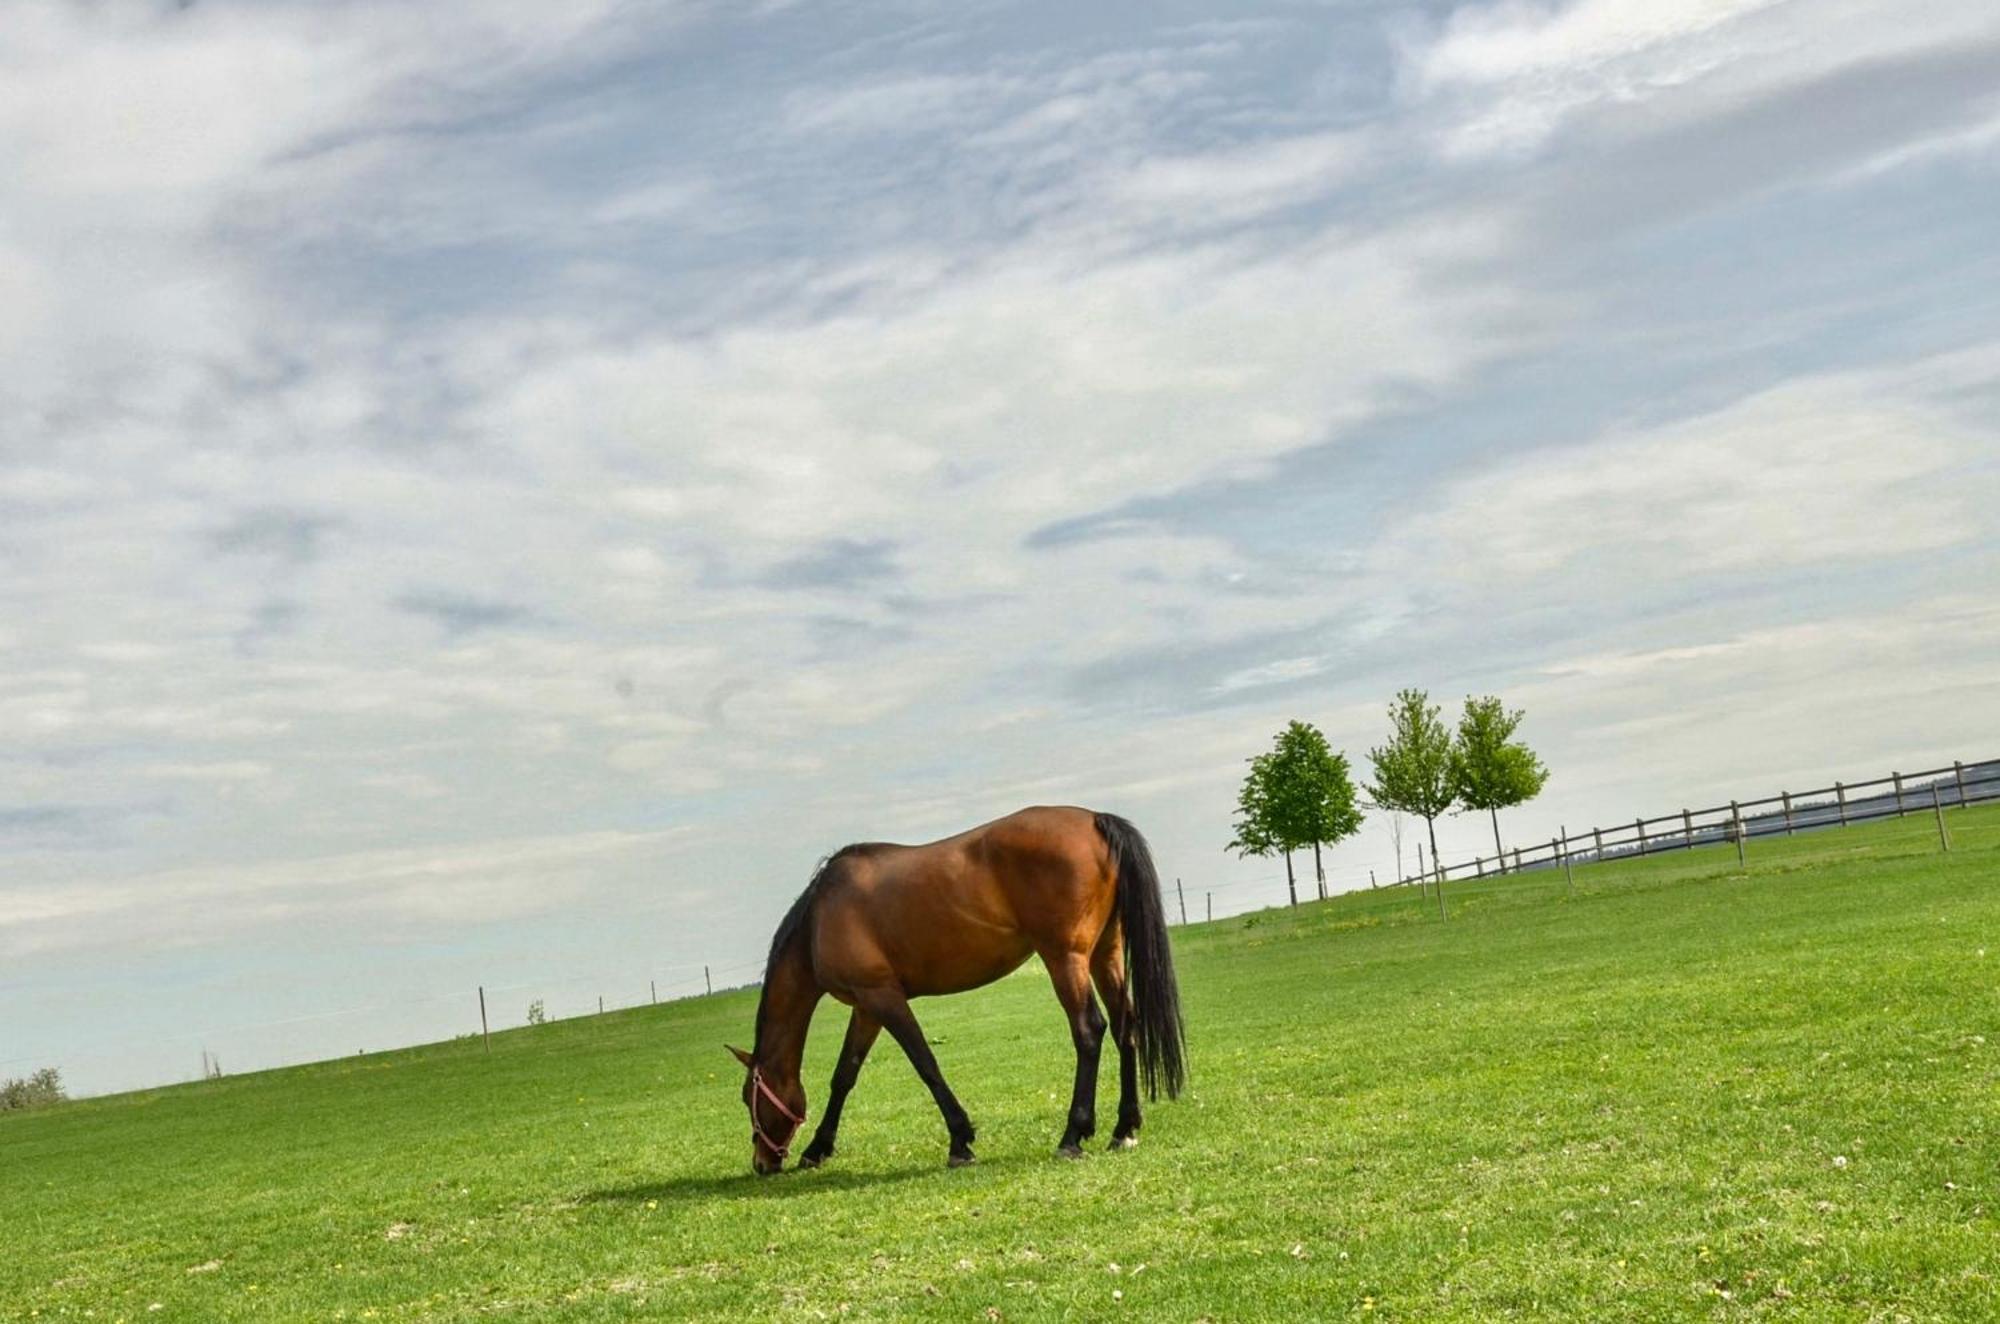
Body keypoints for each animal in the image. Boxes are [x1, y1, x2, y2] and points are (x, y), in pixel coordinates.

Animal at [728, 808, 1176, 1176]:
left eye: (747, 1098)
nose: (762, 1164)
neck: (820, 919)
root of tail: (1094, 820)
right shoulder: (866, 1008)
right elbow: (844, 1076)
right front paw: (817, 1149)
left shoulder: (882, 997)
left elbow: (925, 1064)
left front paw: (960, 1141)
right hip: (1105, 953)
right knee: (1125, 1027)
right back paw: (1124, 1129)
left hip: (1065, 958)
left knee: (1089, 1030)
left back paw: (1072, 1135)